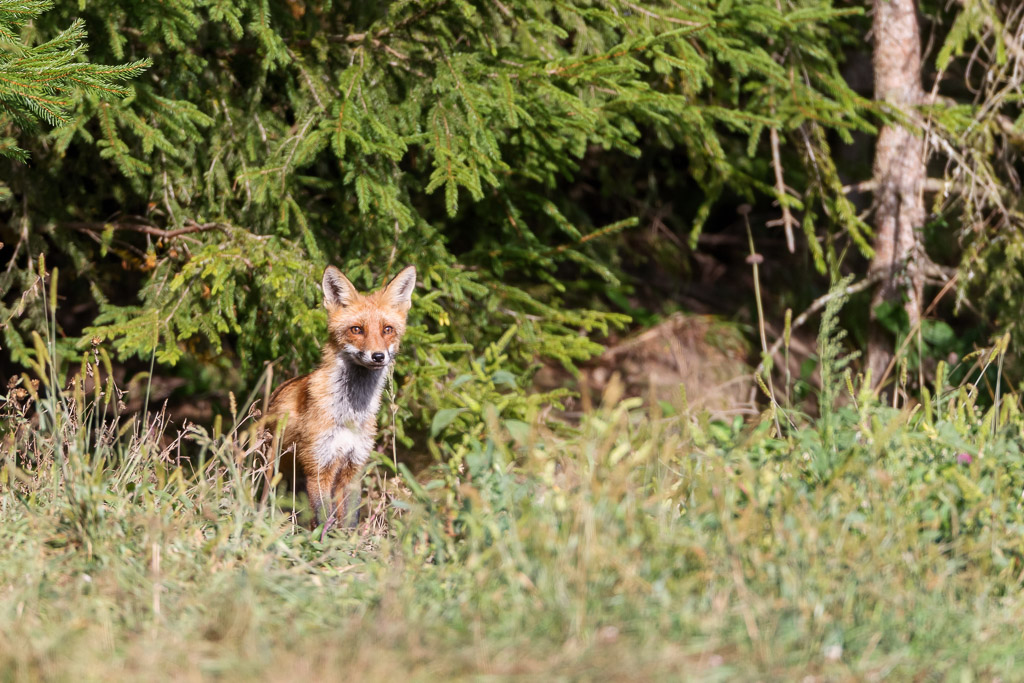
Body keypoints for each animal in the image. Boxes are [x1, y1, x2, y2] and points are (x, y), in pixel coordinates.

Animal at [267, 264, 416, 531]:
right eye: (356, 329)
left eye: (387, 330)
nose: (378, 356)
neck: (349, 415)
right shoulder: (318, 466)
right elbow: (323, 519)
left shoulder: (353, 468)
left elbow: (350, 521)